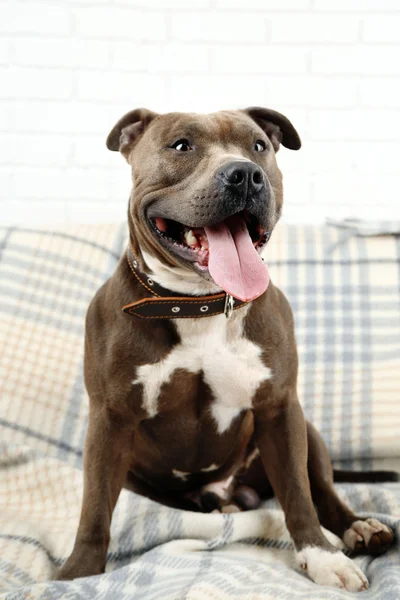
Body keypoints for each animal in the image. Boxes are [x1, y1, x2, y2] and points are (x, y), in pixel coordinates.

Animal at [57, 106, 396, 592]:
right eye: (181, 145)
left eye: (259, 146)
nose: (245, 174)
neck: (200, 304)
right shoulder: (110, 418)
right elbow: (95, 506)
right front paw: (77, 573)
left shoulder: (280, 409)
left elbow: (299, 494)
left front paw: (322, 557)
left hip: (308, 431)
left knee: (324, 490)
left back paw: (359, 526)